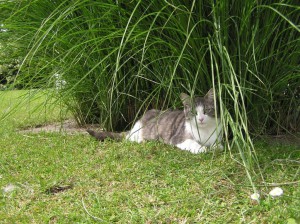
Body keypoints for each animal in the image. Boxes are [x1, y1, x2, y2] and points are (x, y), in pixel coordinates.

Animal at [86, 88, 223, 153]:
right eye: (194, 113)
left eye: (206, 110)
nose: (200, 119)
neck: (204, 131)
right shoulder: (177, 138)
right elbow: (192, 143)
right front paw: (202, 148)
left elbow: (218, 146)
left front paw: (214, 147)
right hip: (138, 132)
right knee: (129, 138)